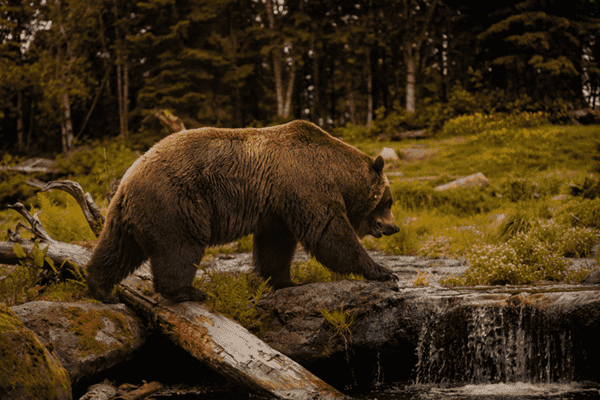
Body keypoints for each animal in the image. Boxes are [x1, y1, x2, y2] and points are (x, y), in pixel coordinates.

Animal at [85, 119, 398, 304]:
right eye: (389, 201)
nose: (394, 227)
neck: (336, 172)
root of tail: (128, 177)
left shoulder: (277, 205)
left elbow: (276, 245)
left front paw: (285, 280)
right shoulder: (305, 184)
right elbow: (330, 232)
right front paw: (383, 271)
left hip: (128, 214)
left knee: (116, 249)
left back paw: (100, 288)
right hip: (176, 203)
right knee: (179, 248)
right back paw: (189, 291)